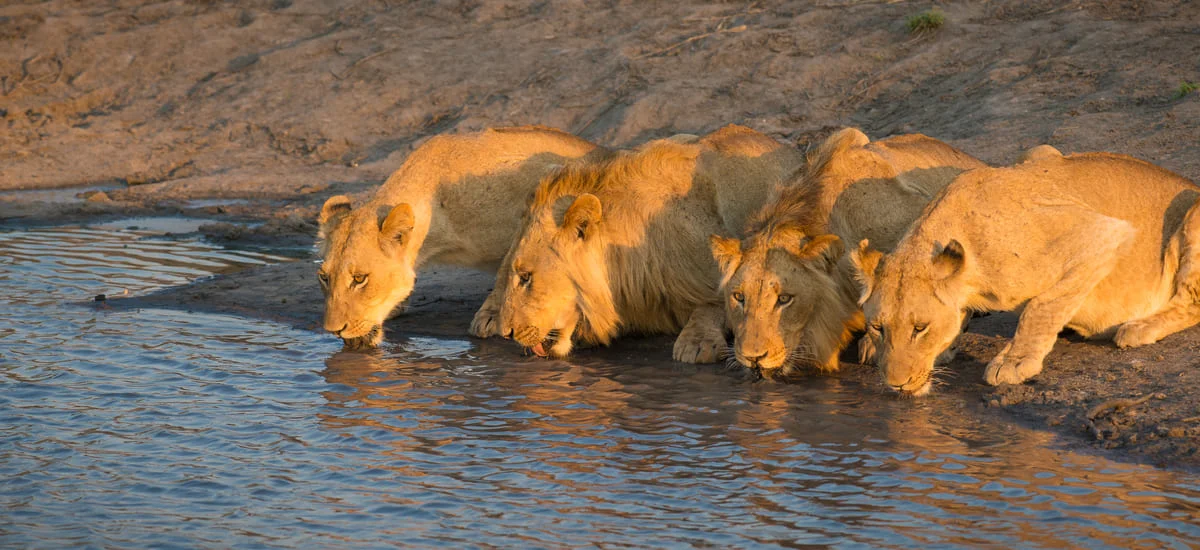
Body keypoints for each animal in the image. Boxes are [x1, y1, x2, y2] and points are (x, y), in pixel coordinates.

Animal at [849, 145, 1200, 396]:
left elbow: (1041, 305)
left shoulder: (1102, 232)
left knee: (1191, 303)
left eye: (919, 328)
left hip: (1193, 214)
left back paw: (1138, 327)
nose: (896, 383)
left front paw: (1014, 361)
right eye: (878, 327)